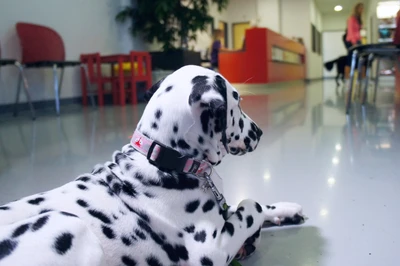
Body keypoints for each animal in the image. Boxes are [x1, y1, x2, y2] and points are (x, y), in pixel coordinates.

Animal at [0, 65, 304, 266]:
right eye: (237, 102)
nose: (259, 132)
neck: (163, 159)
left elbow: (255, 205)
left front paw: (285, 210)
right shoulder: (211, 249)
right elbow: (251, 205)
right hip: (68, 225)